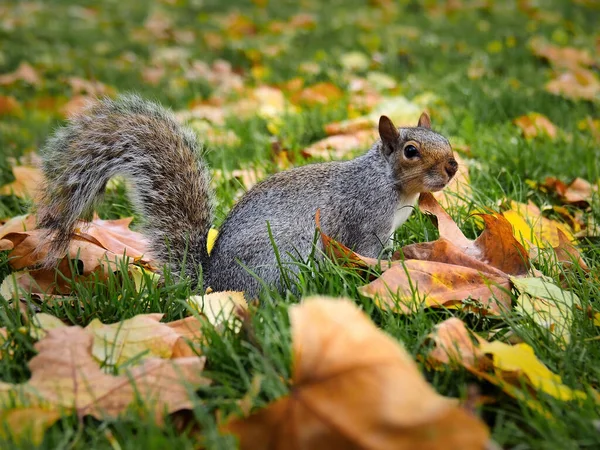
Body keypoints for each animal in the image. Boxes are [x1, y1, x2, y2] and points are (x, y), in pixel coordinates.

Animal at [37, 95, 458, 298]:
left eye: (445, 138)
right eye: (411, 151)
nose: (454, 166)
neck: (389, 184)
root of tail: (212, 283)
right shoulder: (365, 223)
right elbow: (369, 254)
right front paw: (388, 269)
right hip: (282, 259)